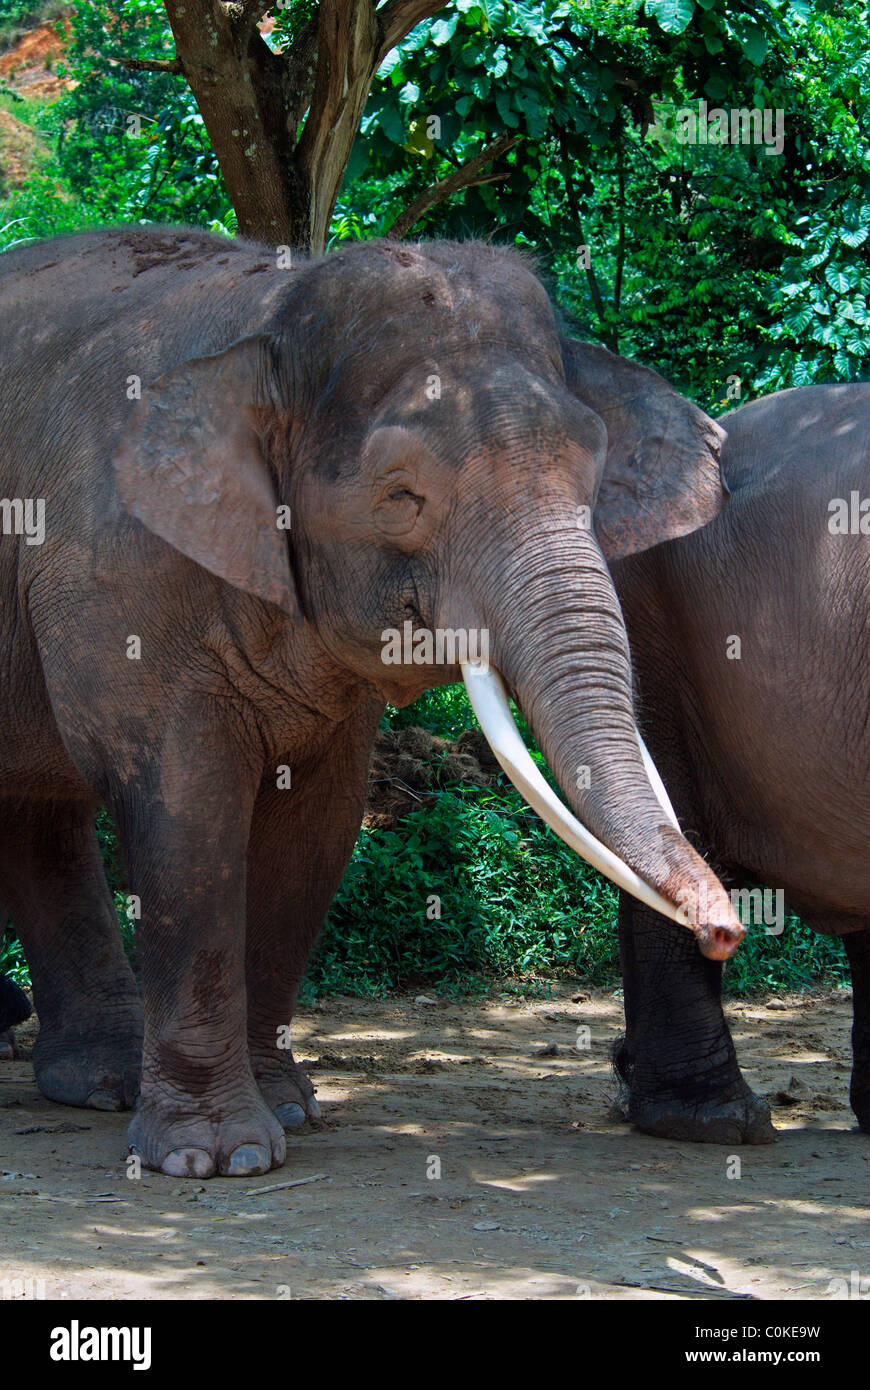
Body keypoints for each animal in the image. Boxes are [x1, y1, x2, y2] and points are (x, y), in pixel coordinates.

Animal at [0, 226, 745, 1177]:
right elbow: (187, 820)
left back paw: (99, 1081)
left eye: (595, 471)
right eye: (400, 493)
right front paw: (218, 1159)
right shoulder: (121, 580)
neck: (269, 315)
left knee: (37, 813)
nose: (726, 930)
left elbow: (316, 830)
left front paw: (289, 1108)